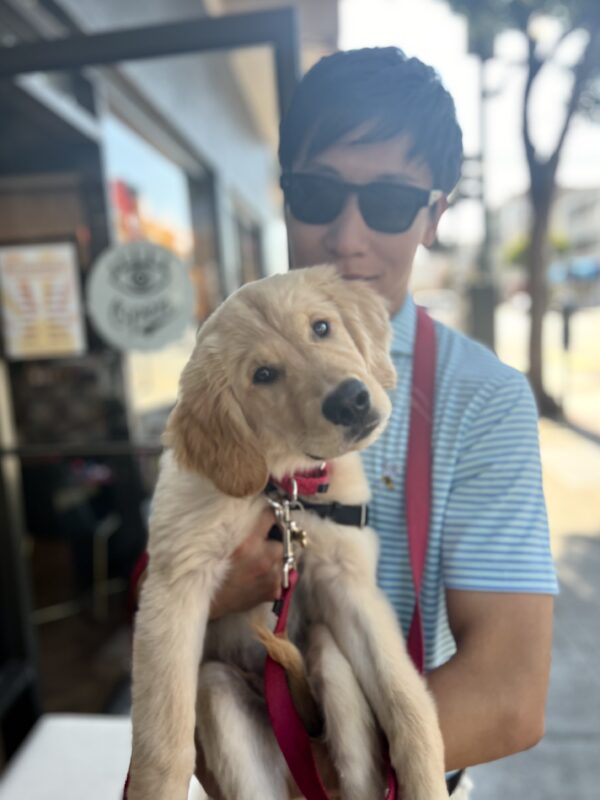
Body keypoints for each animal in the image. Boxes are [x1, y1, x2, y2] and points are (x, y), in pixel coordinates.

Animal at [127, 266, 446, 796]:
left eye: (321, 327)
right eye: (263, 375)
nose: (351, 400)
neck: (281, 488)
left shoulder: (348, 582)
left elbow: (406, 699)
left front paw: (425, 782)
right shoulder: (175, 586)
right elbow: (163, 741)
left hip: (331, 663)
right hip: (218, 691)